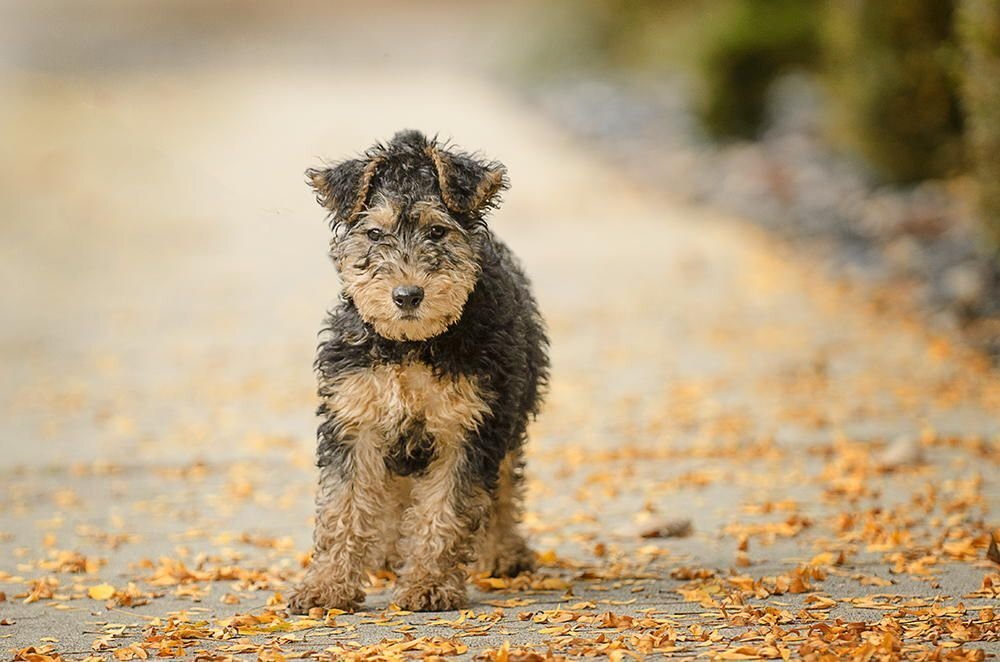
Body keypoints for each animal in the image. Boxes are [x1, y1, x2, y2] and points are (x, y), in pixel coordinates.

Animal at [290, 127, 552, 616]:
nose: (407, 295)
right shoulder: (355, 420)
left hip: (511, 411)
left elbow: (445, 510)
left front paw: (428, 585)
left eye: (437, 230)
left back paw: (503, 553)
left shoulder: (469, 427)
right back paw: (387, 552)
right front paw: (327, 587)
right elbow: (343, 507)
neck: (410, 346)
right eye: (374, 233)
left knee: (505, 488)